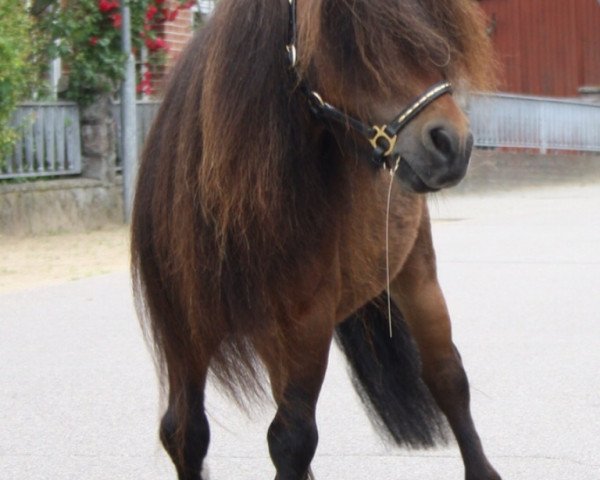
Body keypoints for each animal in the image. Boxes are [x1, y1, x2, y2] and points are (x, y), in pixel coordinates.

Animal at [131, 0, 502, 480]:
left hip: (416, 277)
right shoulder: (184, 334)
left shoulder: (306, 324)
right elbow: (186, 431)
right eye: (352, 39)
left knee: (447, 377)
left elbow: (292, 439)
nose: (452, 143)